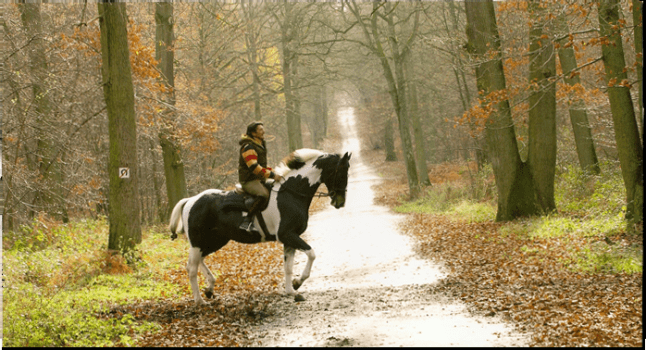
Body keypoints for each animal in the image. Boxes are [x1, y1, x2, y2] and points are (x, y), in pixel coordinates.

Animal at [167, 149, 350, 304]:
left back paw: (210, 288)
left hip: (216, 240)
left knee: (200, 260)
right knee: (191, 268)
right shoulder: (288, 235)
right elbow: (311, 254)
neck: (291, 193)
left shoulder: (289, 240)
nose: (340, 202)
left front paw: (292, 291)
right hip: (198, 242)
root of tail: (190, 200)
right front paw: (297, 283)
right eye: (341, 171)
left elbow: (288, 267)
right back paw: (199, 301)